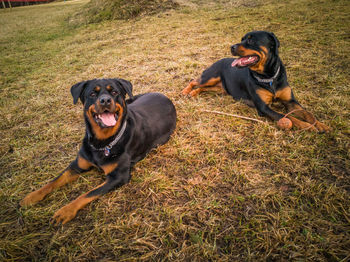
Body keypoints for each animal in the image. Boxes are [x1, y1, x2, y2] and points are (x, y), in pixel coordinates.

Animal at [20, 79, 176, 224]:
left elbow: (88, 194)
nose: (105, 100)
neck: (103, 142)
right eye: (92, 94)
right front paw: (32, 197)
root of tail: (163, 95)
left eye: (114, 92)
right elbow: (54, 180)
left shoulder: (118, 177)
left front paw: (65, 211)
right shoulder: (77, 165)